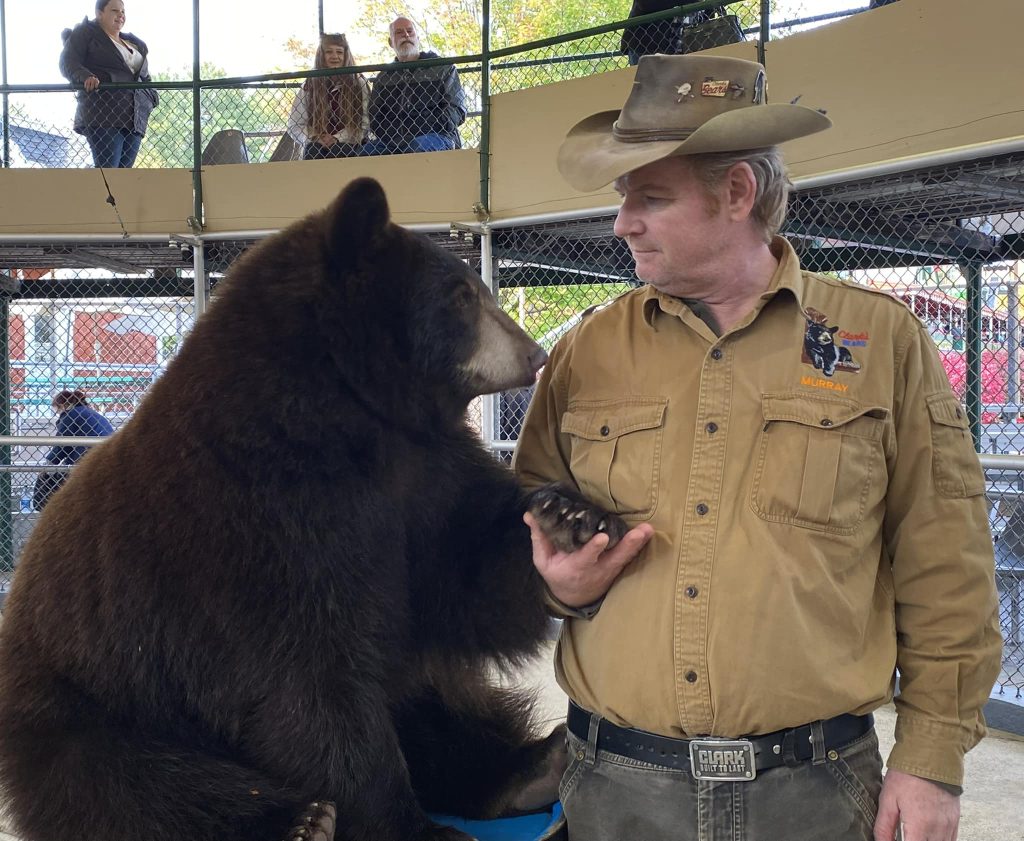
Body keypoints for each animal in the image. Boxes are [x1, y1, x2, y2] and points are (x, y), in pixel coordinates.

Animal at [0, 178, 626, 841]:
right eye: (461, 296)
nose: (535, 354)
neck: (346, 415)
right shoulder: (260, 521)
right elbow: (306, 679)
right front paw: (408, 824)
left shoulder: (421, 476)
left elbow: (465, 571)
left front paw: (570, 520)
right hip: (93, 696)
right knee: (128, 782)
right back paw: (297, 819)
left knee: (435, 704)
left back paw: (527, 766)